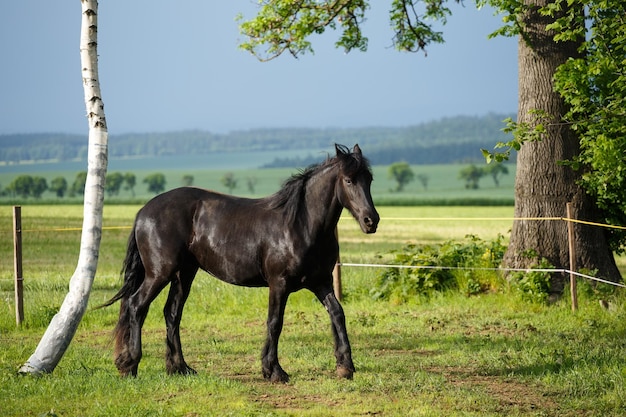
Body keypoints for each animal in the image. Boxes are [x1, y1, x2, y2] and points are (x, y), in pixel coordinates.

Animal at [102, 143, 378, 380]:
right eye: (349, 180)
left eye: (369, 180)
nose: (371, 221)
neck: (301, 225)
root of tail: (143, 212)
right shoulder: (279, 284)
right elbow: (275, 323)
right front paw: (274, 371)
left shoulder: (321, 282)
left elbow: (338, 313)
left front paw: (345, 367)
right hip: (159, 273)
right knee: (137, 306)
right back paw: (130, 365)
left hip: (184, 274)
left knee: (172, 313)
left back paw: (179, 368)